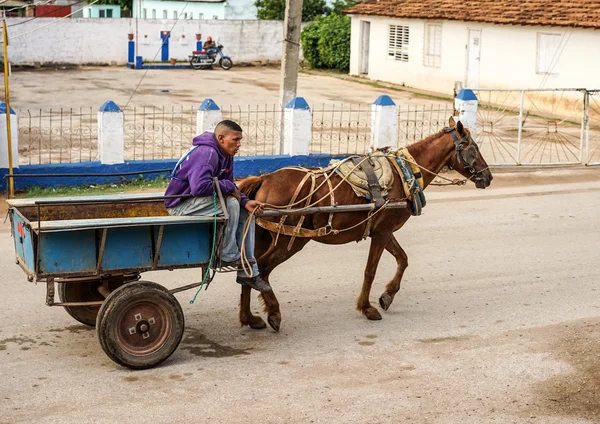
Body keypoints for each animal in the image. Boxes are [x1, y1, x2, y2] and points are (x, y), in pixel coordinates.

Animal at [238, 118, 492, 332]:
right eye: (473, 147)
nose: (488, 177)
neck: (405, 171)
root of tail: (265, 179)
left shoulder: (383, 230)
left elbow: (403, 259)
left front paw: (387, 296)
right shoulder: (382, 233)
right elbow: (371, 270)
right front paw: (367, 307)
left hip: (262, 237)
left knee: (248, 270)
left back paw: (249, 318)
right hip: (290, 240)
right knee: (261, 270)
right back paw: (274, 313)